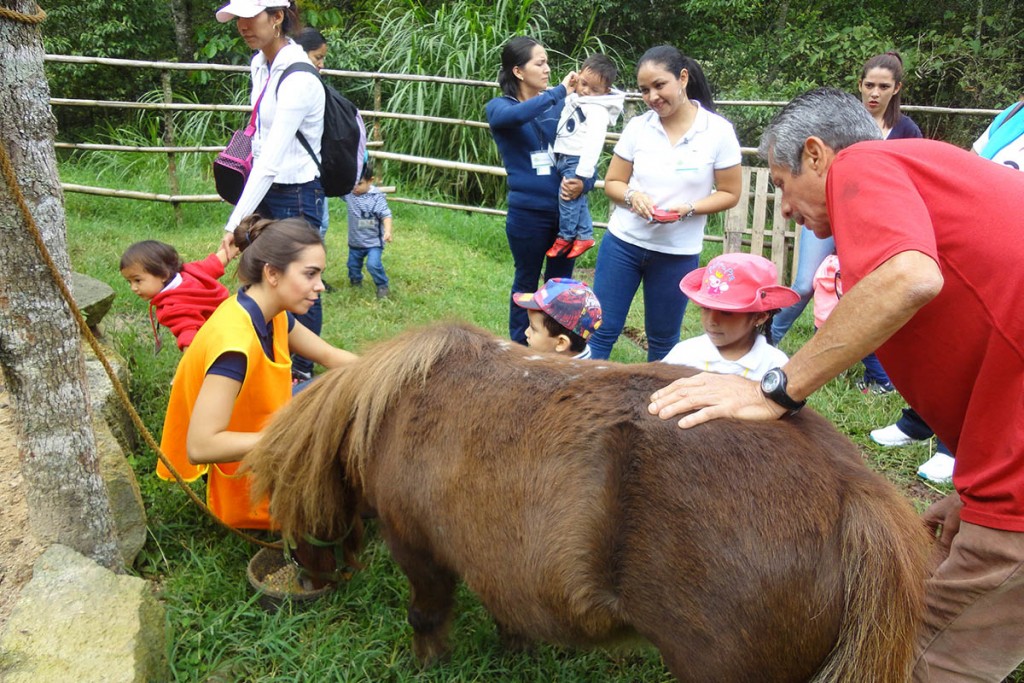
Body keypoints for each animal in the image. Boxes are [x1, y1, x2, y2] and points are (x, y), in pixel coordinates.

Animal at [245, 323, 929, 679]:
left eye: (281, 505)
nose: (308, 576)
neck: (393, 407)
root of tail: (851, 489)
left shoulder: (419, 550)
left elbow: (426, 616)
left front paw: (427, 663)